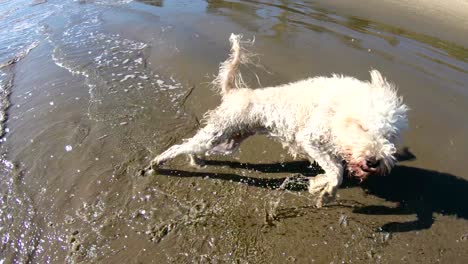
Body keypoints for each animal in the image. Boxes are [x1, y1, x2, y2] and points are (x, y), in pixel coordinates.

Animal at [148, 34, 408, 207]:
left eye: (389, 135)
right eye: (362, 126)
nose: (373, 161)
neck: (339, 109)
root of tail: (235, 92)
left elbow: (336, 171)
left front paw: (319, 185)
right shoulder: (310, 139)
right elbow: (337, 172)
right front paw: (324, 191)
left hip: (228, 140)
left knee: (194, 147)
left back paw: (196, 161)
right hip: (218, 133)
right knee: (179, 146)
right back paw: (156, 164)